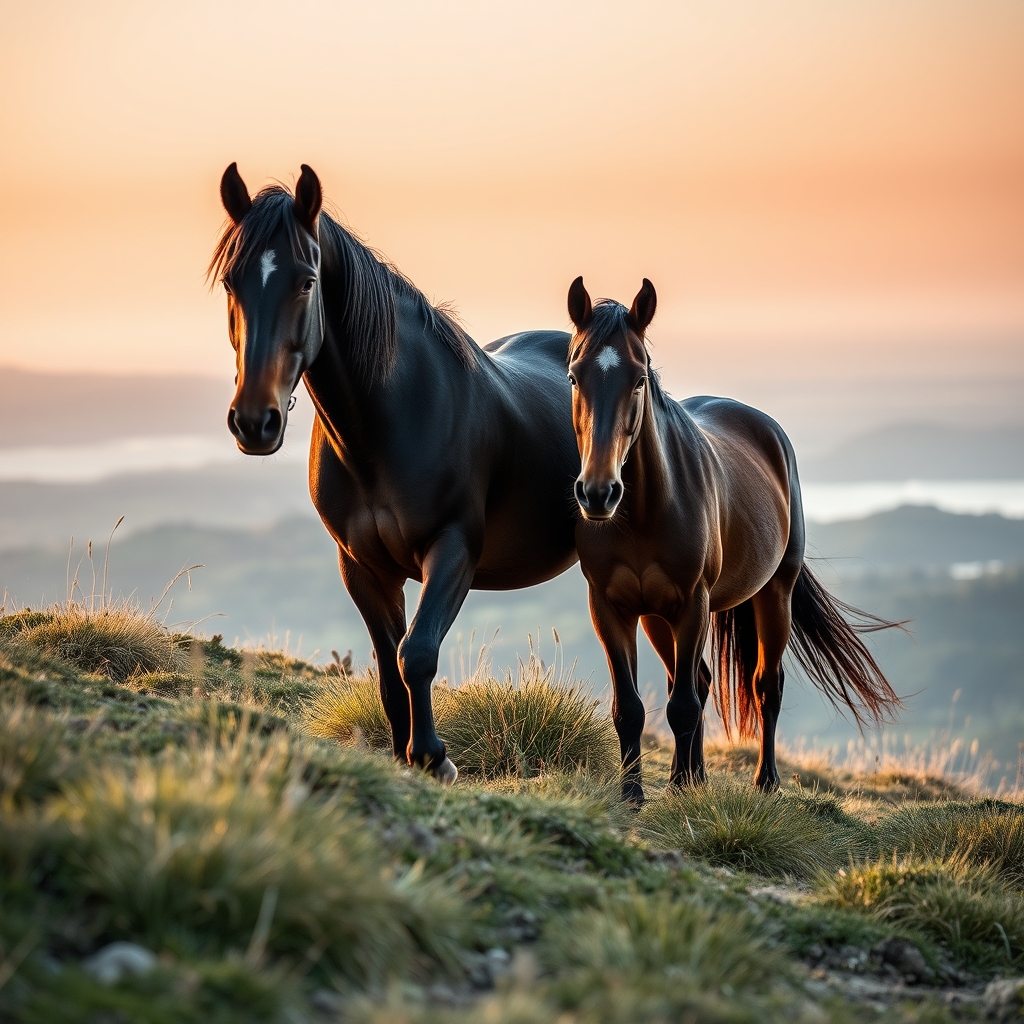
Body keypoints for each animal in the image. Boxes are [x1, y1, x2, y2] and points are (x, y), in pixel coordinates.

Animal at [209, 163, 582, 782]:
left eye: (306, 281)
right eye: (231, 284)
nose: (254, 422)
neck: (385, 430)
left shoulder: (452, 550)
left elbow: (418, 652)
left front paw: (433, 757)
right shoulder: (361, 564)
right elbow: (388, 665)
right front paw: (405, 753)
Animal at [565, 276, 903, 801]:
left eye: (638, 379)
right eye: (574, 377)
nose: (599, 492)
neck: (642, 515)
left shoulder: (692, 604)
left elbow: (683, 705)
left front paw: (677, 791)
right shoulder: (610, 607)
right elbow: (632, 707)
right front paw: (634, 795)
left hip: (773, 593)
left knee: (765, 684)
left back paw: (764, 781)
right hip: (657, 616)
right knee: (697, 680)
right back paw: (691, 776)